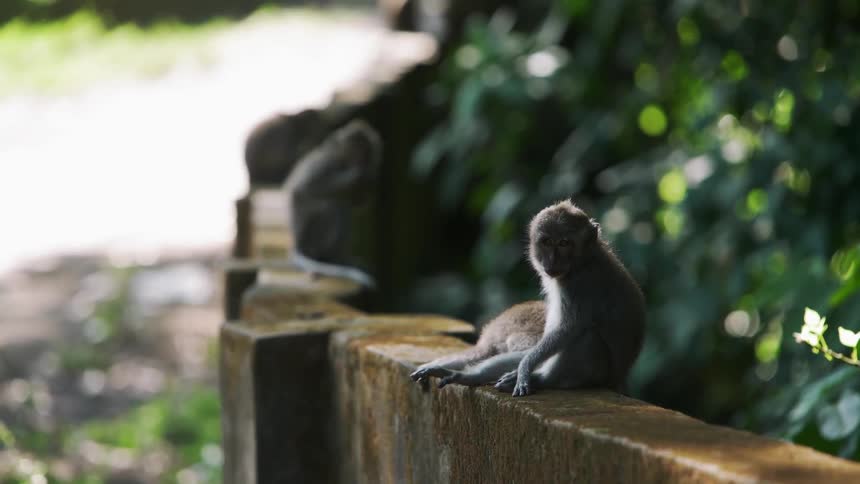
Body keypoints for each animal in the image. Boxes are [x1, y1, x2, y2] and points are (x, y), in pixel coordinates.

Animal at [282, 119, 382, 288]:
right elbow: (304, 188)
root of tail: (298, 243)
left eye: (364, 153)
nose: (358, 161)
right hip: (308, 234)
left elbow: (358, 201)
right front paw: (357, 176)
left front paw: (364, 180)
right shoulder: (328, 162)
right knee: (331, 205)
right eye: (354, 151)